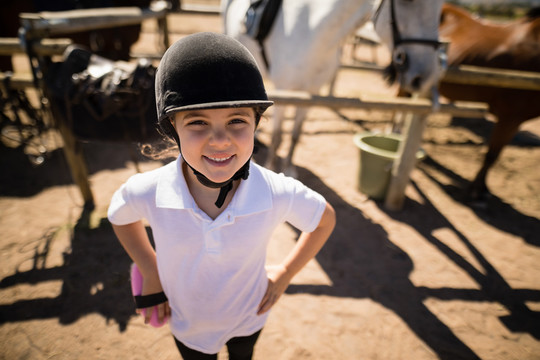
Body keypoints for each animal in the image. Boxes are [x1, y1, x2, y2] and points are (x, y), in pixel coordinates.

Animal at [220, 0, 442, 176]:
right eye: (407, 1)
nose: (424, 76)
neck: (313, 32)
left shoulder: (311, 93)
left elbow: (295, 135)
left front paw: (289, 169)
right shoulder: (286, 90)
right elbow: (277, 137)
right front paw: (273, 168)